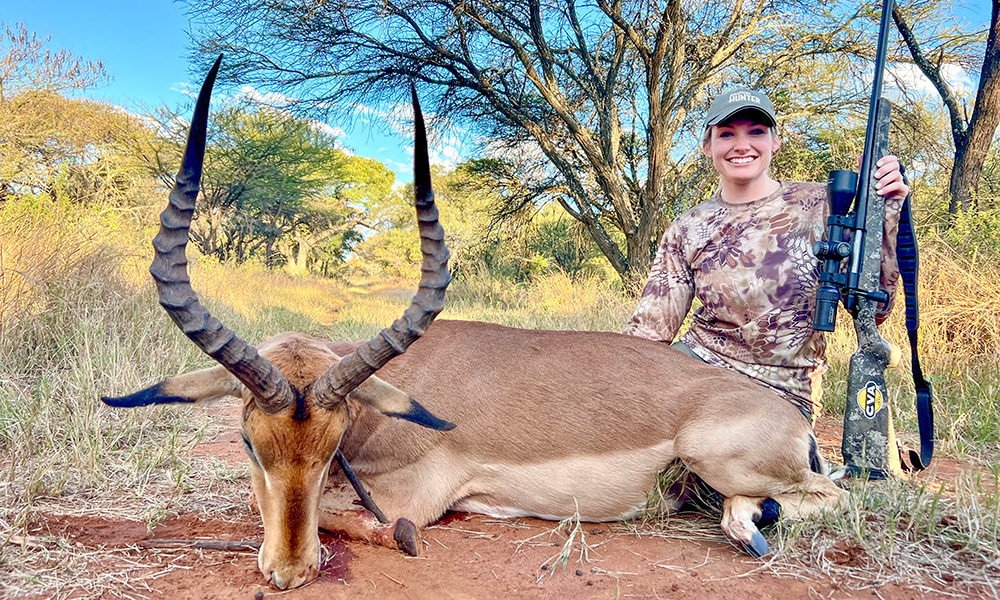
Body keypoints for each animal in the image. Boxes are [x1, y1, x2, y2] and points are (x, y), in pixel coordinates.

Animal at [105, 61, 848, 592]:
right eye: (249, 442)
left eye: (332, 441)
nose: (288, 572)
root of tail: (794, 419)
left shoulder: (411, 495)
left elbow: (371, 521)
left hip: (720, 457)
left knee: (826, 497)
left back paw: (751, 524)